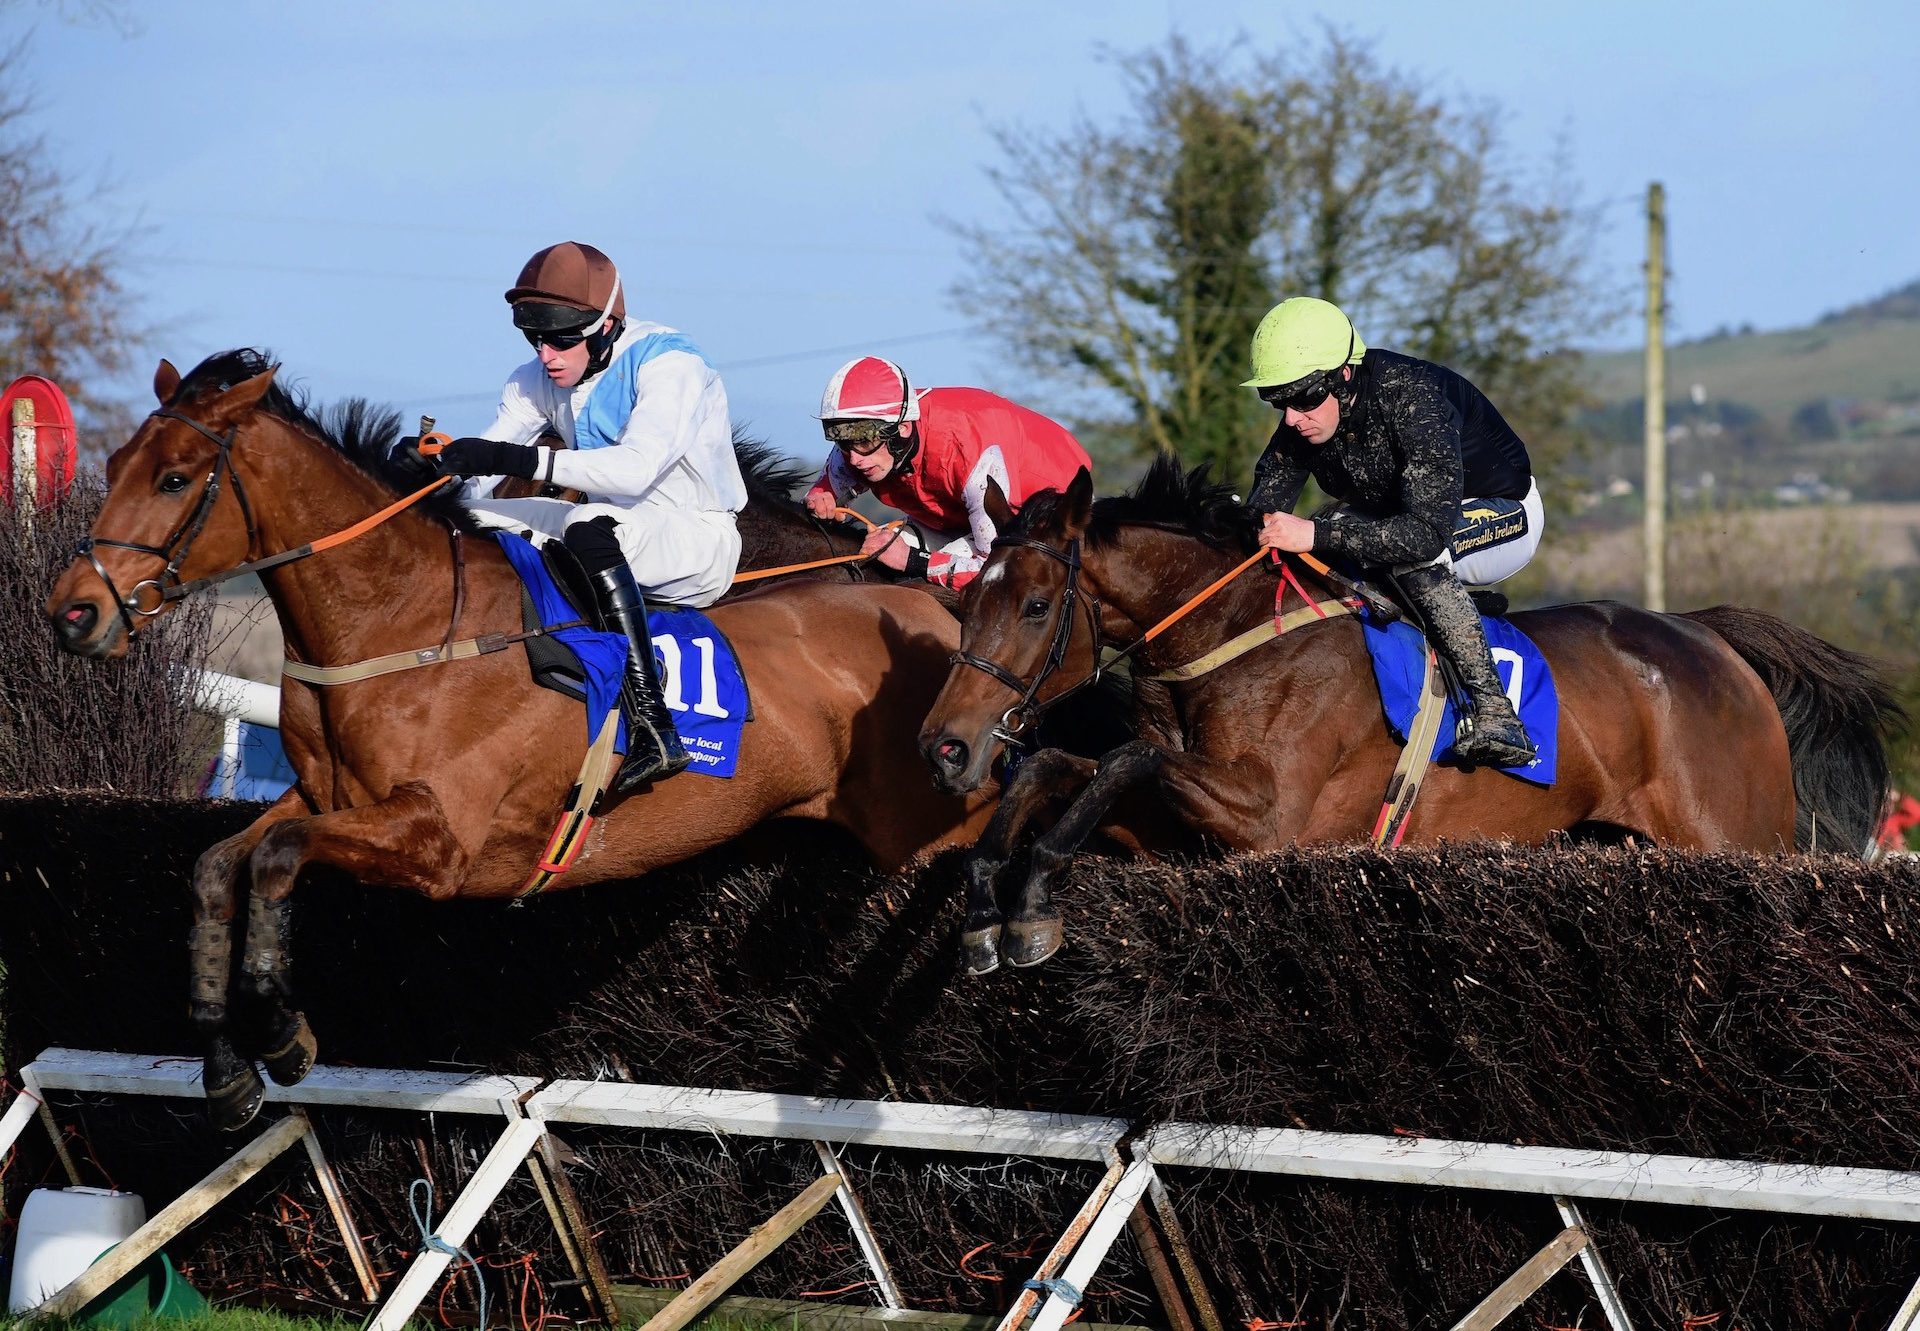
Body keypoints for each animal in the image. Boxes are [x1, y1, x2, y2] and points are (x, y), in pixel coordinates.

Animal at [43, 347, 998, 1129]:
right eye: (114, 464)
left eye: (175, 479)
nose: (73, 613)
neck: (406, 620)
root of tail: (934, 607)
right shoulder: (324, 797)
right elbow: (217, 865)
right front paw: (226, 1066)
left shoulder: (439, 844)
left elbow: (277, 859)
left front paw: (281, 1033)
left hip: (935, 827)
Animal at [921, 462, 1896, 971]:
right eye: (967, 600)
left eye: (1037, 606)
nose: (947, 746)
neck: (1234, 636)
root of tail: (1708, 635)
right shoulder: (1182, 837)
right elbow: (1067, 767)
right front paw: (985, 901)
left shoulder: (1272, 820)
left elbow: (1121, 760)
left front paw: (1033, 896)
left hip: (1737, 836)